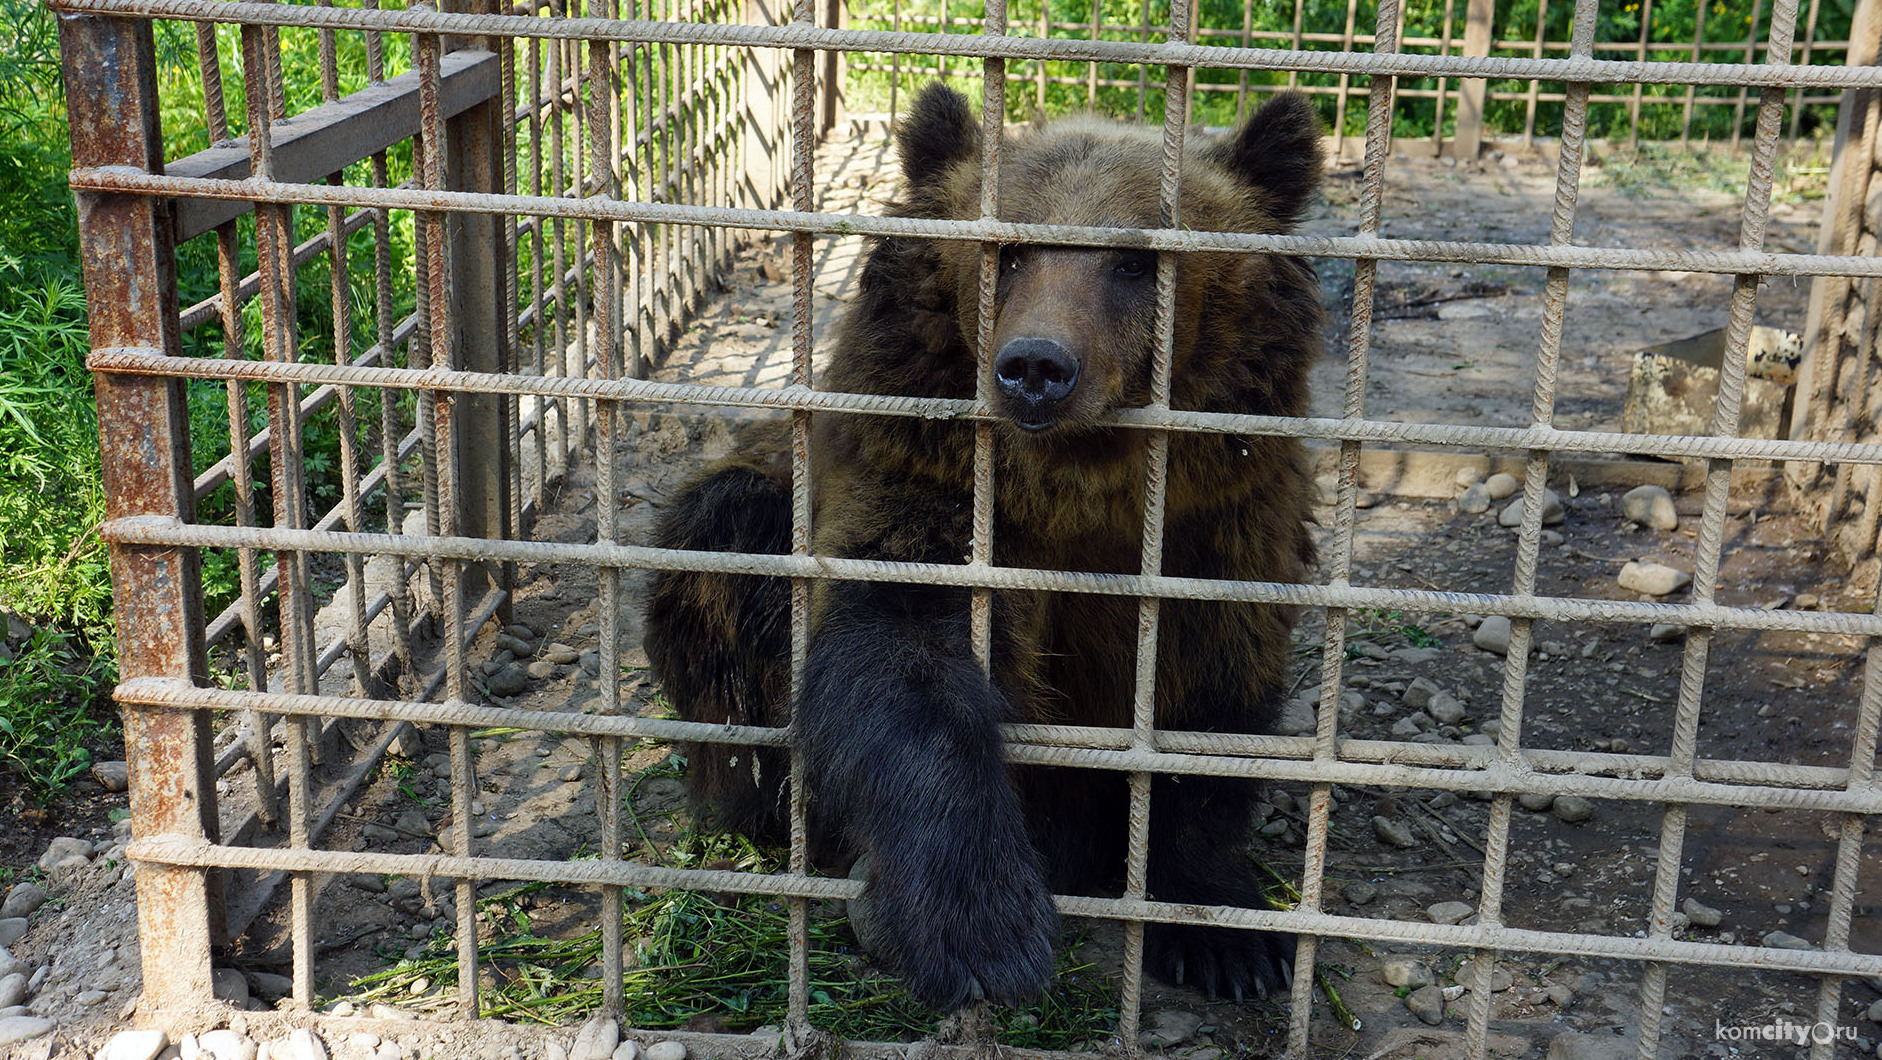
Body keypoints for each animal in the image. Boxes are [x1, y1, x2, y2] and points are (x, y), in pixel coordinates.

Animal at [647, 82, 1324, 1009]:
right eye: (1009, 250)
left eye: (1135, 261)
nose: (1037, 365)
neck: (1081, 485)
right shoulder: (926, 476)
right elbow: (899, 653)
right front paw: (979, 924)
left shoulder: (1224, 521)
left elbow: (1212, 701)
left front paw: (1226, 936)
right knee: (721, 547)